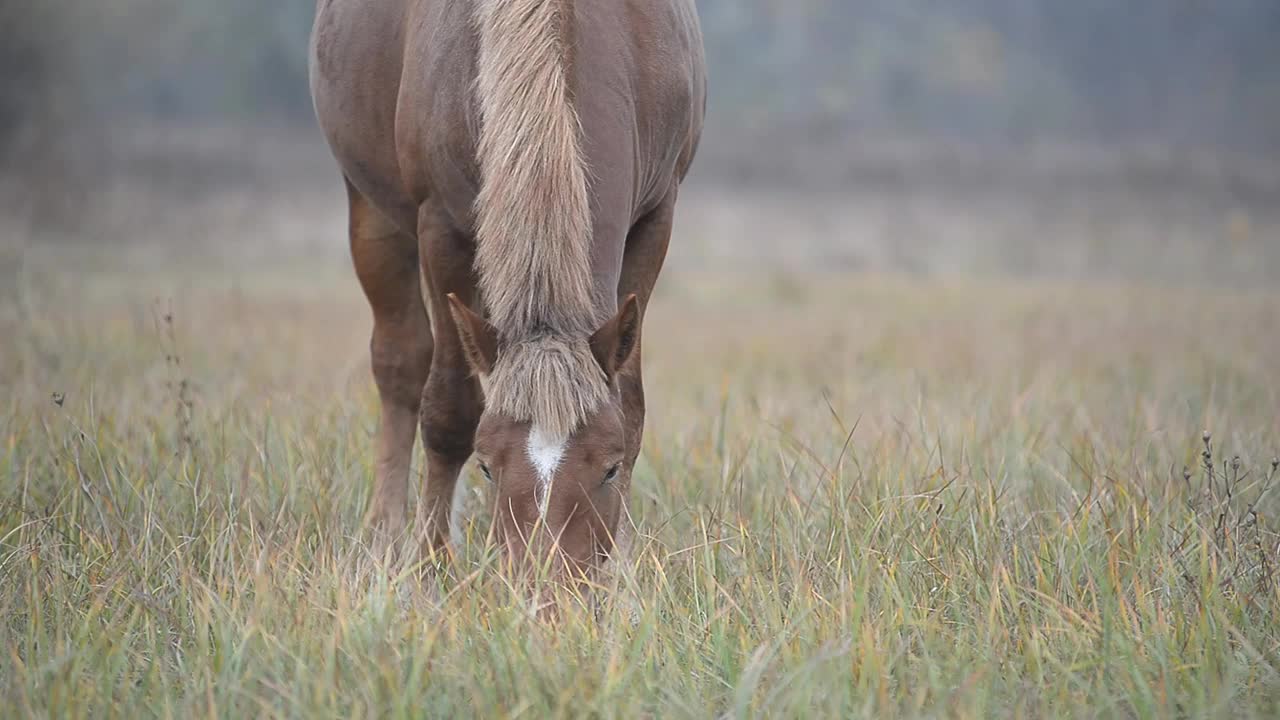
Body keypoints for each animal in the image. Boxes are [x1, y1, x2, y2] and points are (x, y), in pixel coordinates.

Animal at [309, 0, 711, 576]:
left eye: (609, 468)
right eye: (487, 467)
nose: (547, 585)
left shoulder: (657, 218)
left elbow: (631, 406)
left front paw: (621, 566)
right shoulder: (440, 228)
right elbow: (449, 409)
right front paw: (432, 562)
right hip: (370, 208)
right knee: (401, 365)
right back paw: (386, 533)